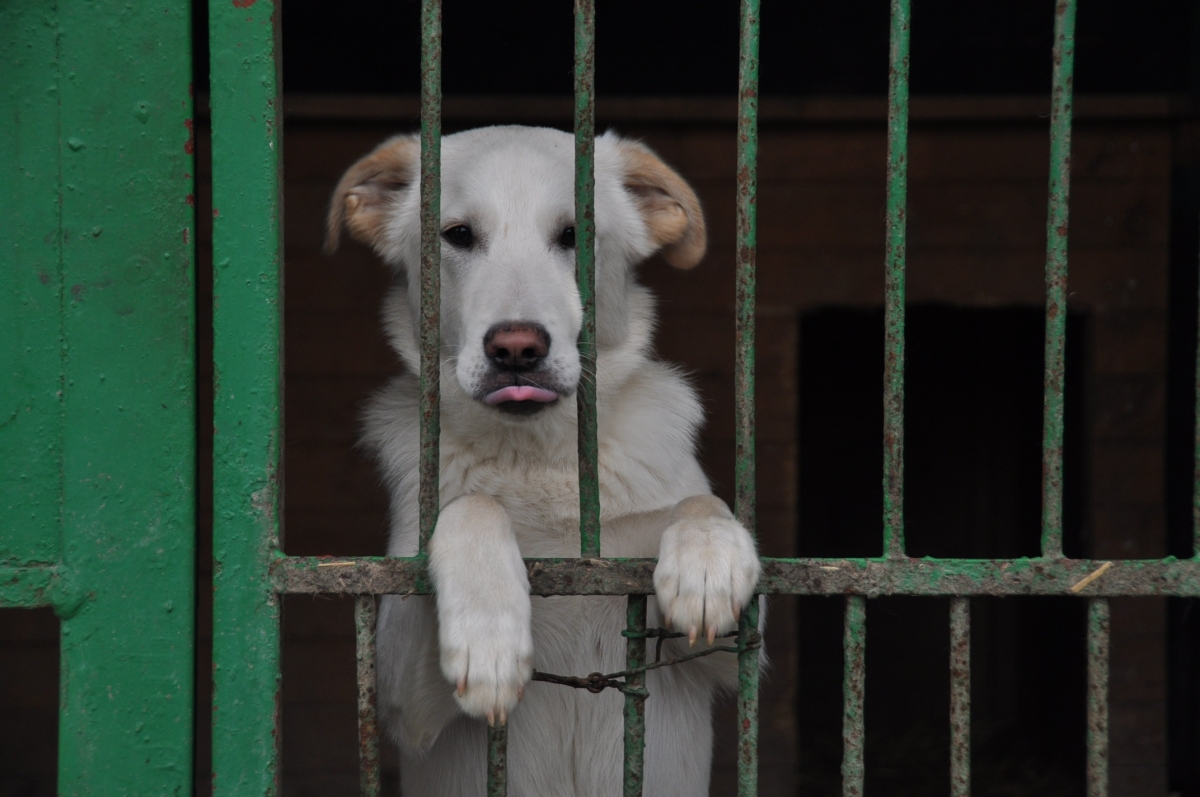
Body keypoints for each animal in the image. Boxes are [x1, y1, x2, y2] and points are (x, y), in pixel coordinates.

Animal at [324, 127, 763, 792]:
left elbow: (699, 500)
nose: (516, 348)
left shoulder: (739, 661)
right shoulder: (401, 701)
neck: (538, 458)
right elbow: (472, 505)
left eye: (575, 235)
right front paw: (489, 634)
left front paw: (707, 560)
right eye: (457, 235)